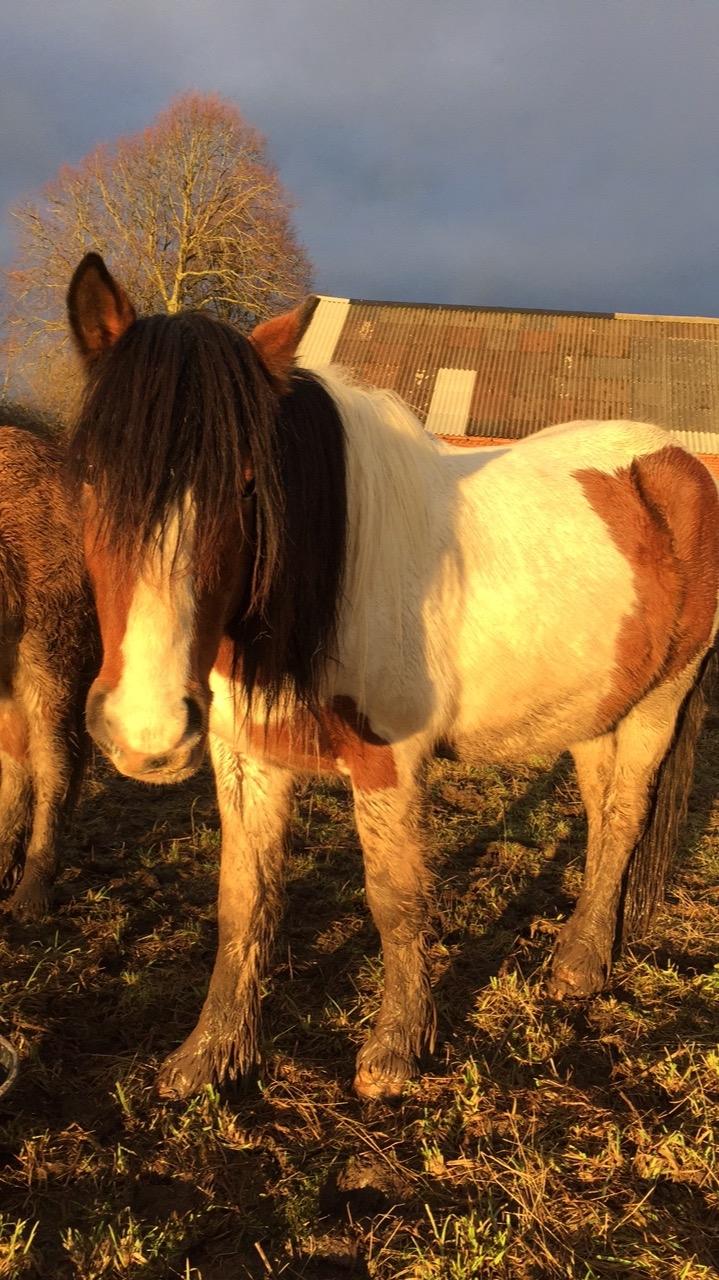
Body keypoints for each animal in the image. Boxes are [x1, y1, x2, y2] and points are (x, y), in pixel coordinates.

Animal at [65, 254, 716, 1105]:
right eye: (89, 475)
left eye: (248, 484)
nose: (147, 733)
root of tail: (673, 459)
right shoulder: (246, 758)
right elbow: (243, 899)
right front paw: (210, 1054)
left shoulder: (388, 762)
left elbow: (394, 900)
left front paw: (395, 1049)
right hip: (593, 709)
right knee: (603, 813)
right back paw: (582, 946)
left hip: (659, 703)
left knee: (624, 816)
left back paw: (577, 969)